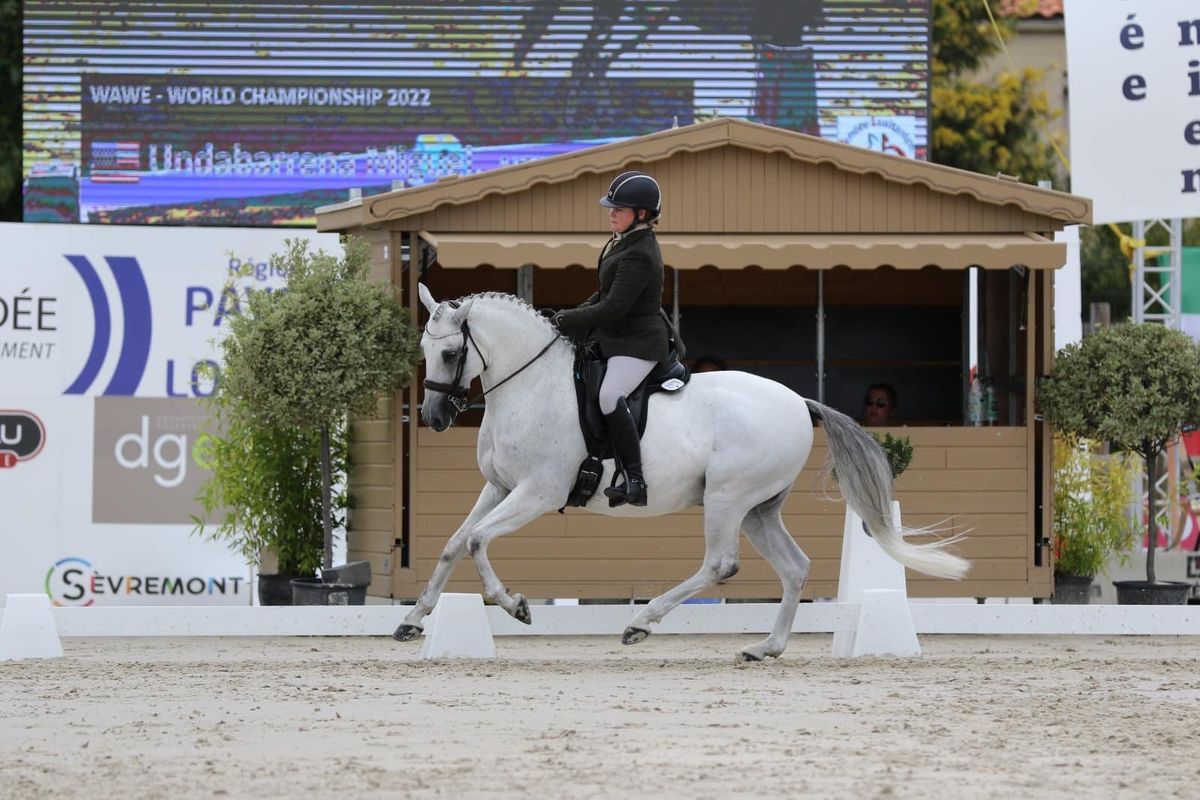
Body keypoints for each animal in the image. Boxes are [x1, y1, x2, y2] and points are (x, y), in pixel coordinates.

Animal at [398, 284, 969, 662]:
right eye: (424, 349)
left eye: (451, 351)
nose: (433, 417)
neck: (531, 385)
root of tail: (799, 401)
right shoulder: (498, 486)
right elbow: (455, 542)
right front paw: (412, 619)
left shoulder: (537, 491)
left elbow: (477, 541)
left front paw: (514, 605)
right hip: (758, 509)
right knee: (794, 567)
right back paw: (766, 648)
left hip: (726, 499)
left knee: (720, 564)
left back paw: (640, 623)